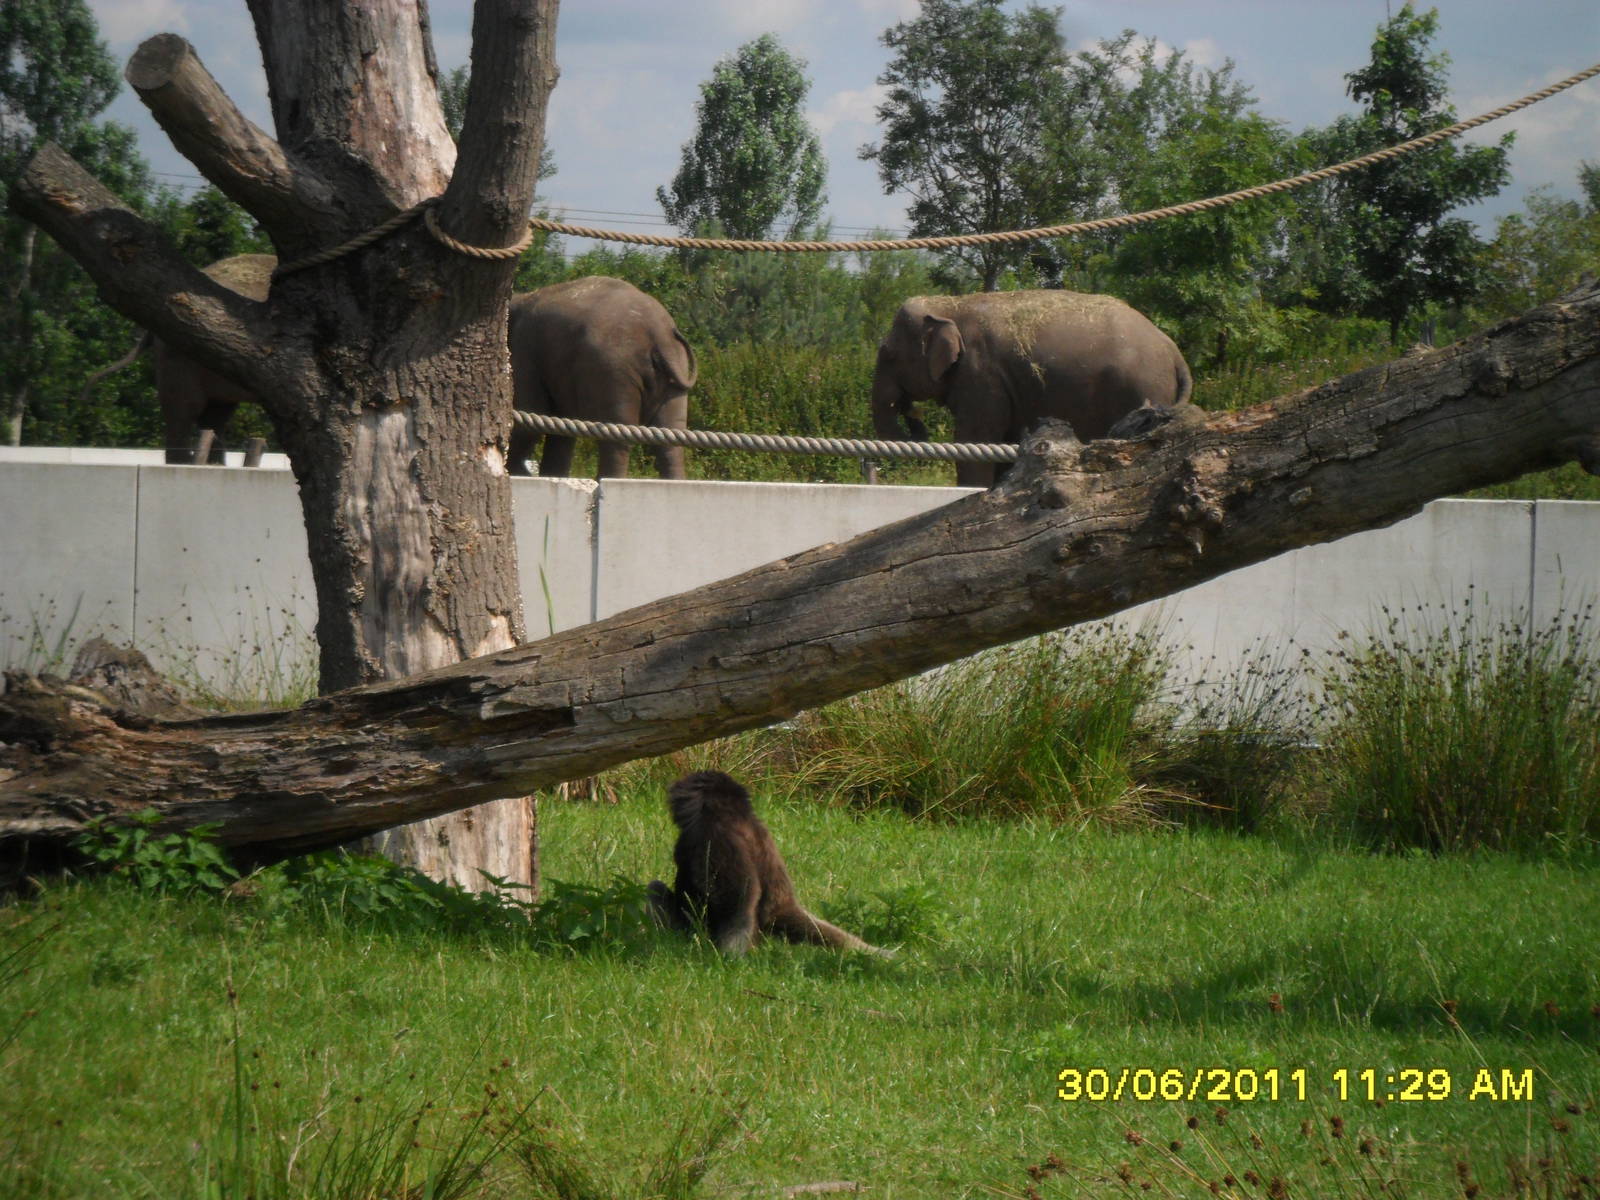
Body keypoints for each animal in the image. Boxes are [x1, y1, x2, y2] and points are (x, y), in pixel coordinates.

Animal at [508, 276, 697, 479]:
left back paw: (606, 480)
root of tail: (660, 335)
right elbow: (560, 431)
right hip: (674, 370)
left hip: (615, 370)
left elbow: (528, 420)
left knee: (618, 436)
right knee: (670, 437)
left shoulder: (524, 352)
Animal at [871, 290, 1193, 487]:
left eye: (888, 355)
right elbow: (1003, 442)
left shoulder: (981, 374)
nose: (916, 420)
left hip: (1141, 388)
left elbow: (974, 438)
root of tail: (1174, 352)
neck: (951, 304)